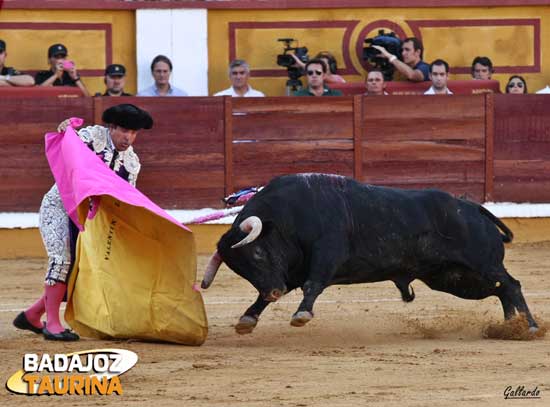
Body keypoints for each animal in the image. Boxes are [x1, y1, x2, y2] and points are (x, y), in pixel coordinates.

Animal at [202, 174, 540, 336]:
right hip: (454, 278)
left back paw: (530, 327)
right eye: (241, 270)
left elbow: (314, 285)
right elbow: (270, 296)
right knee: (501, 291)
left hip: (482, 264)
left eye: (258, 253)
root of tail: (472, 207)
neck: (288, 217)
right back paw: (511, 327)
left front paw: (301, 315)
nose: (273, 290)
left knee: (511, 285)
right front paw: (248, 319)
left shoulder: (327, 254)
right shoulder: (291, 271)